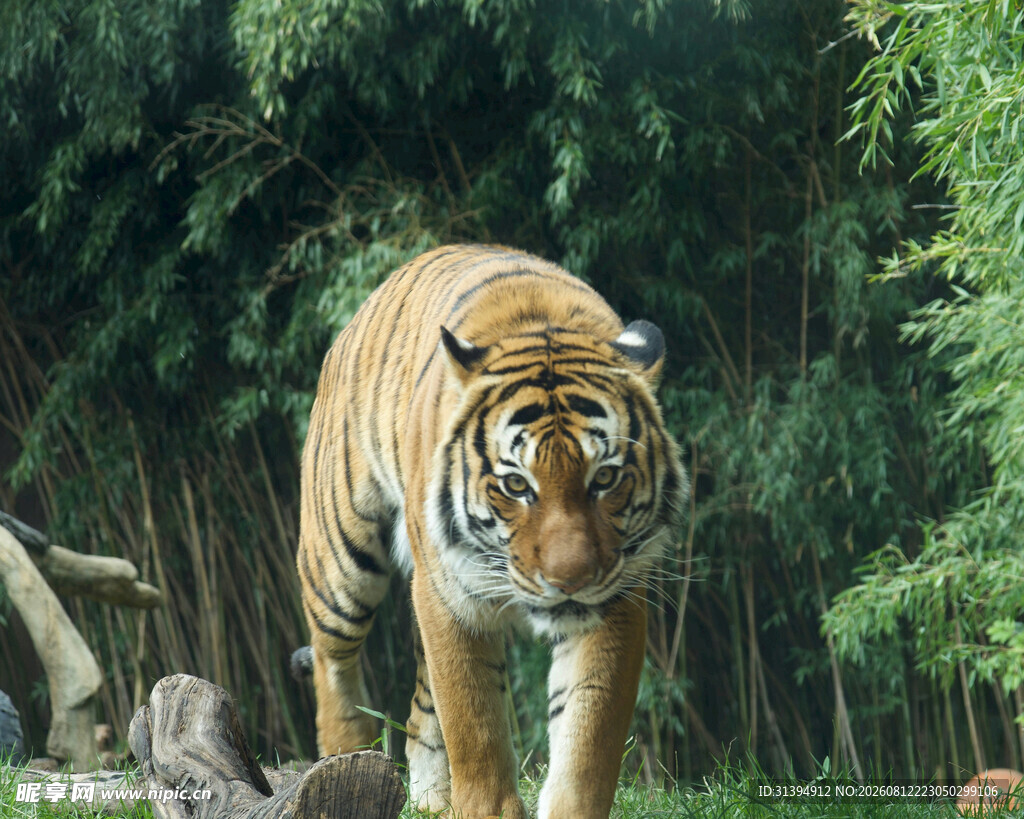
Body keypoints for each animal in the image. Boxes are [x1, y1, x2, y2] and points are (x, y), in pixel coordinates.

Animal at [297, 244, 686, 819]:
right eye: (516, 484)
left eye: (605, 478)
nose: (569, 581)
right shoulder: (448, 594)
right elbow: (474, 722)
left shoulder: (616, 600)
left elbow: (589, 734)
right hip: (342, 563)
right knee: (332, 662)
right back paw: (346, 762)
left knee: (419, 712)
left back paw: (431, 801)